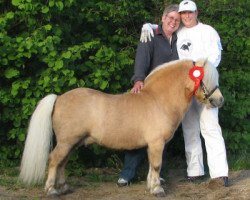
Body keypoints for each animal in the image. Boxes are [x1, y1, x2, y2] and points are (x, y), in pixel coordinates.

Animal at [19, 58, 223, 196]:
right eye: (206, 79)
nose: (219, 100)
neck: (157, 100)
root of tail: (59, 98)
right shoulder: (156, 143)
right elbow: (157, 165)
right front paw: (157, 189)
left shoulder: (153, 145)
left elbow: (152, 166)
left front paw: (151, 185)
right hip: (66, 142)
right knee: (54, 160)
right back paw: (51, 190)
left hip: (72, 143)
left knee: (62, 162)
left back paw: (63, 187)